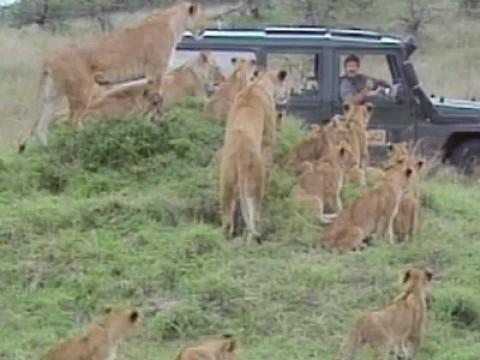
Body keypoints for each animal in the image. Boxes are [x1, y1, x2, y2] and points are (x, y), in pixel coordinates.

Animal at [19, 1, 204, 151]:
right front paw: (155, 124)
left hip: (53, 93)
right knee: (72, 121)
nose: (203, 30)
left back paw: (48, 150)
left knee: (42, 126)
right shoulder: (156, 71)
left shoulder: (152, 75)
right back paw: (85, 142)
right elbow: (156, 99)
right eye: (202, 18)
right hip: (82, 90)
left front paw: (145, 121)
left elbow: (149, 97)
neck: (175, 24)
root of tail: (49, 55)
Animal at [220, 68, 288, 242]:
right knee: (253, 215)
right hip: (255, 182)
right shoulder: (268, 141)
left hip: (226, 183)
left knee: (227, 220)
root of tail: (240, 154)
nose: (287, 95)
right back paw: (252, 237)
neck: (258, 84)